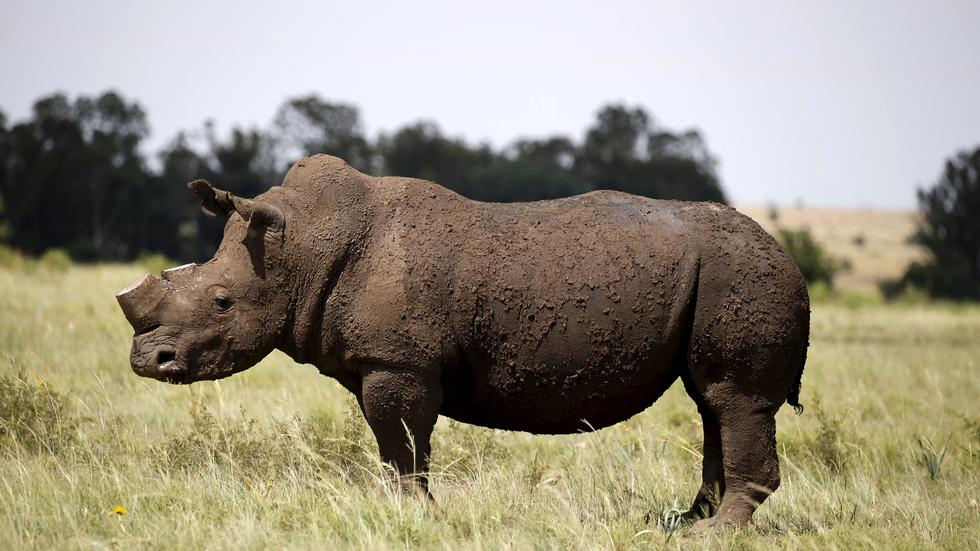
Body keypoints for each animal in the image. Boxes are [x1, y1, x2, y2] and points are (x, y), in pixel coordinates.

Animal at [116, 154, 809, 529]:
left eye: (222, 303)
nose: (148, 360)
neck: (304, 246)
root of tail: (787, 253)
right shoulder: (391, 362)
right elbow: (399, 446)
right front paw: (410, 513)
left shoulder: (398, 362)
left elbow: (401, 445)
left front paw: (411, 516)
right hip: (727, 274)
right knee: (712, 402)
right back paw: (681, 523)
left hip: (742, 273)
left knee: (733, 399)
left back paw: (711, 533)